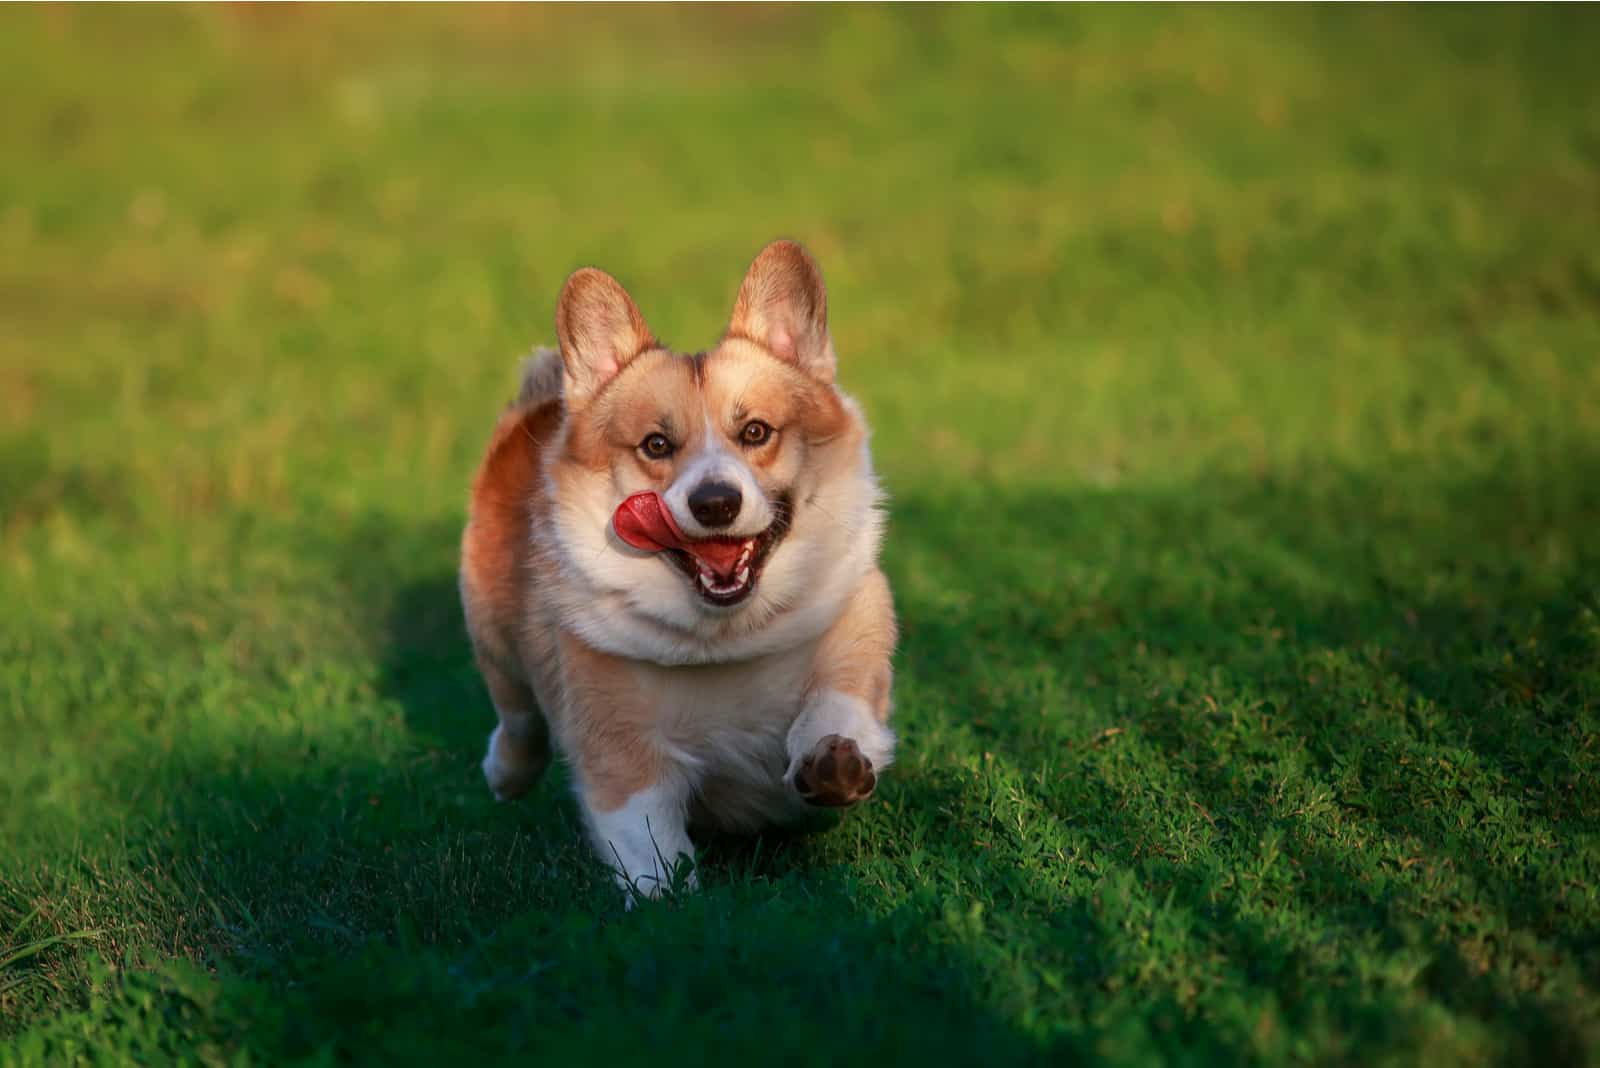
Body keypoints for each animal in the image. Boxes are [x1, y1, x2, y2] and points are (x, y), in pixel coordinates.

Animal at [460, 239, 902, 901]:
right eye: (657, 446)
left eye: (756, 432)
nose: (714, 503)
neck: (728, 638)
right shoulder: (621, 751)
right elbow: (651, 845)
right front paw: (672, 903)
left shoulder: (854, 642)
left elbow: (835, 704)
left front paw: (833, 762)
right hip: (493, 637)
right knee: (517, 717)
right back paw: (505, 774)